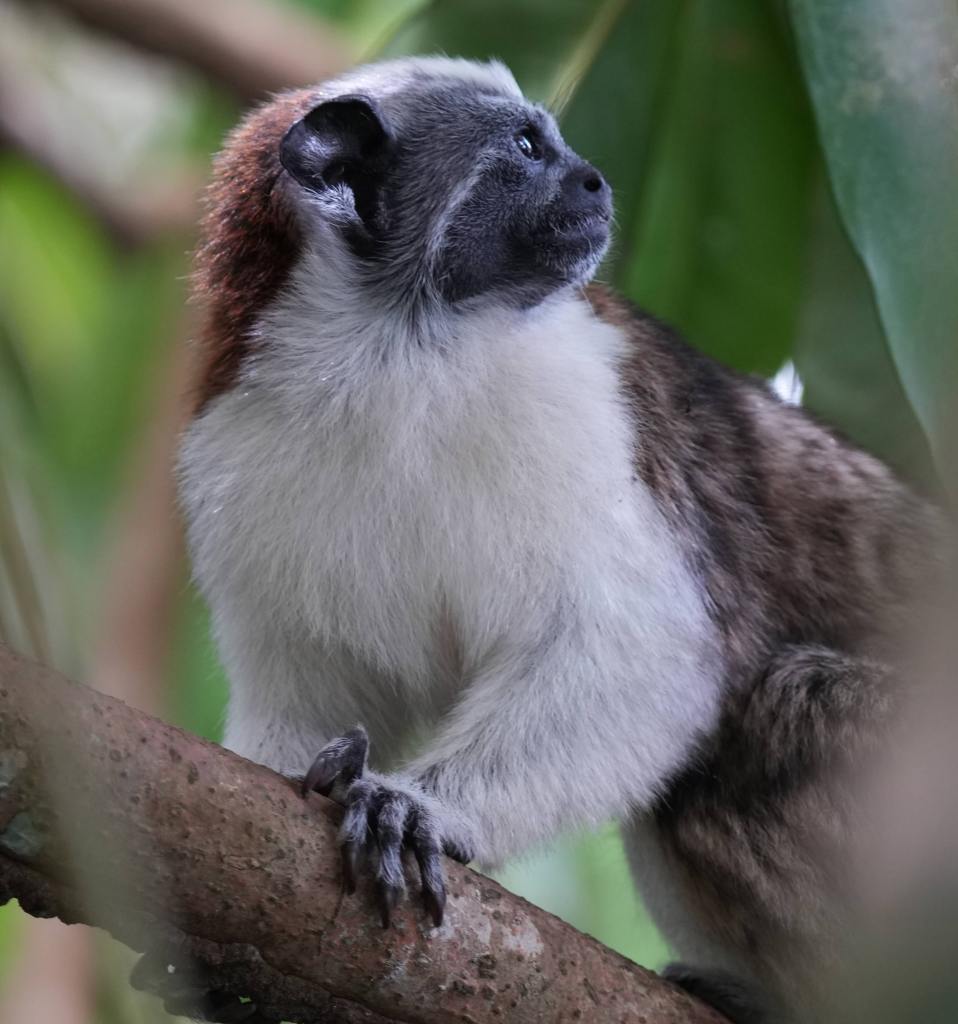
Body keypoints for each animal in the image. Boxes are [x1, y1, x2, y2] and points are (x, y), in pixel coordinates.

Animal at [172, 56, 945, 1023]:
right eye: (528, 148)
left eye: (555, 142)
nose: (595, 180)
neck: (389, 356)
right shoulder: (237, 453)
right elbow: (301, 706)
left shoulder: (581, 405)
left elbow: (639, 653)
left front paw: (415, 808)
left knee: (760, 725)